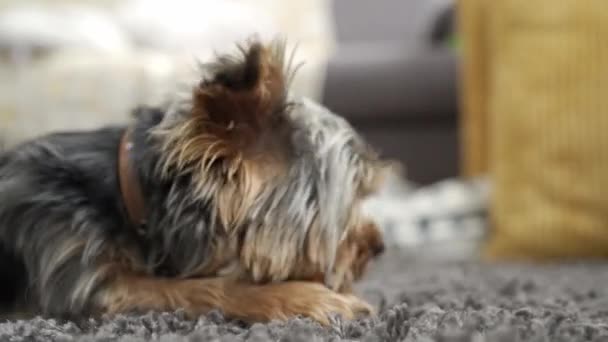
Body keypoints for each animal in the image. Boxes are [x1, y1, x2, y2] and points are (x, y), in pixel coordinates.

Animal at [0, 40, 384, 326]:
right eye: (350, 199)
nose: (378, 246)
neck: (128, 199)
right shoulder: (82, 280)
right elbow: (196, 288)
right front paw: (310, 298)